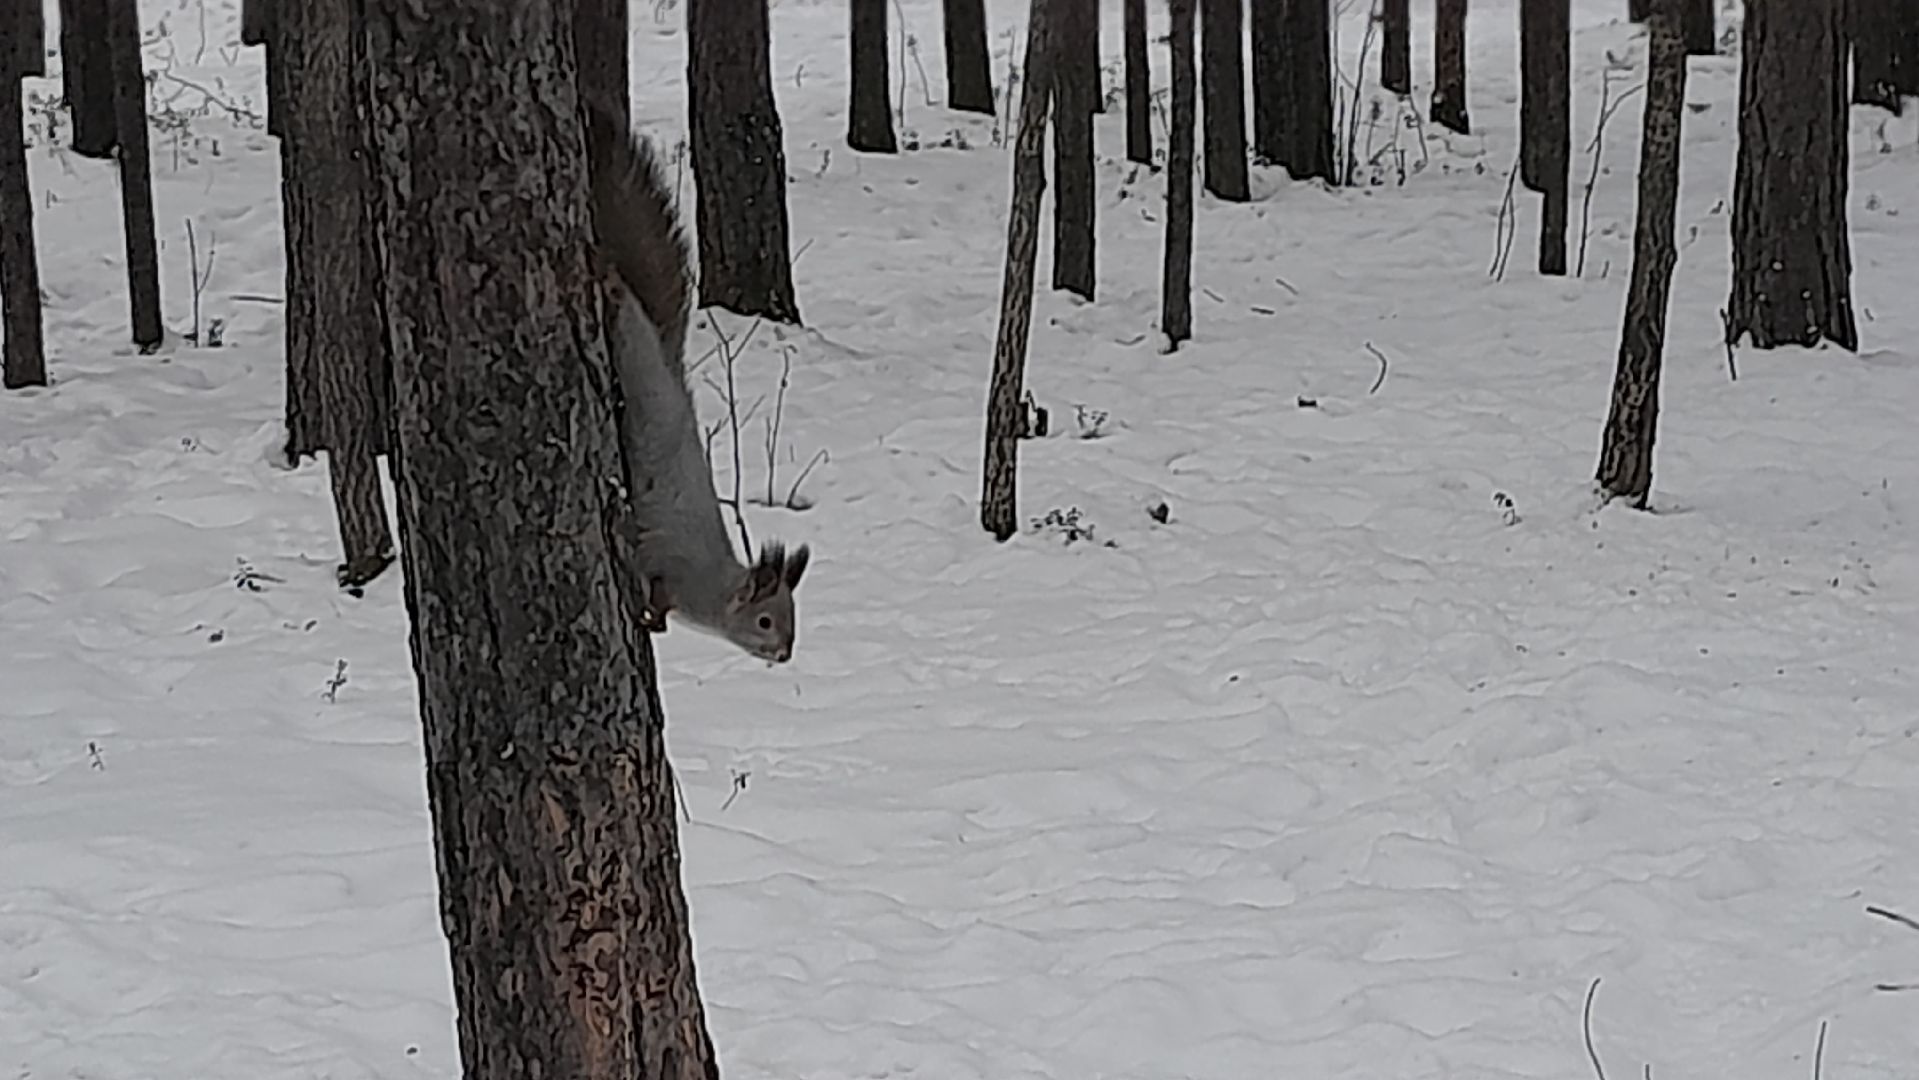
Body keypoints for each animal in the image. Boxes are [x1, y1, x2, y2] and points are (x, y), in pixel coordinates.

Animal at [582, 103, 810, 664]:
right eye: (765, 620)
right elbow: (658, 601)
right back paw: (605, 275)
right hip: (629, 345)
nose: (785, 654)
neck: (710, 590)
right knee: (615, 294)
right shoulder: (669, 568)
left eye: (794, 621)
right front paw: (649, 619)